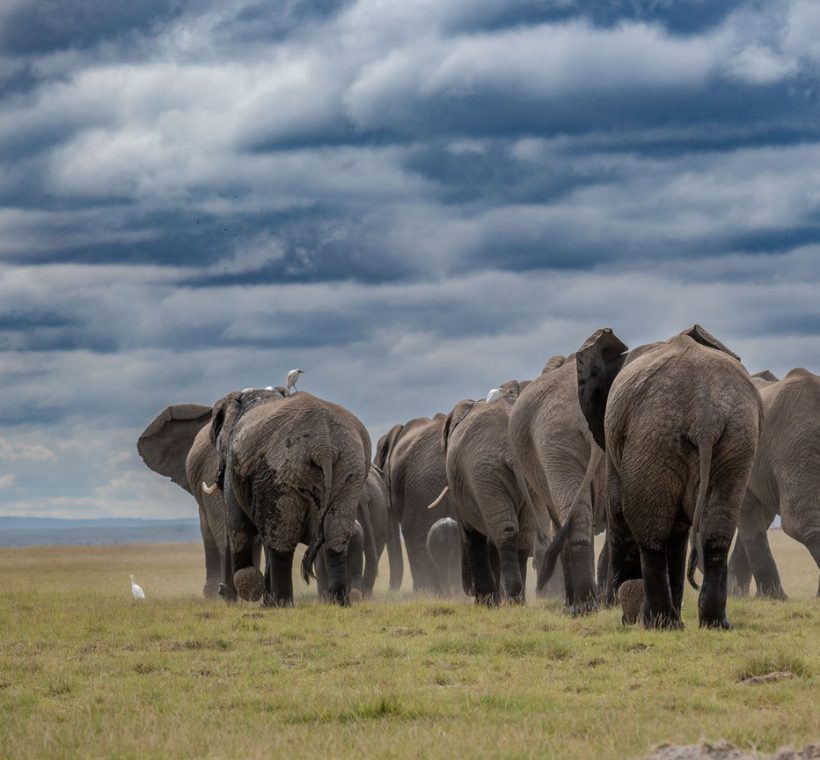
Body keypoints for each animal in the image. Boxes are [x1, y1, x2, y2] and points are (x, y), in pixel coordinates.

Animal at [209, 388, 370, 606]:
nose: (220, 590)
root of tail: (324, 445)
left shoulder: (235, 468)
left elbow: (238, 524)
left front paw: (254, 592)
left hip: (282, 469)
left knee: (281, 542)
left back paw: (281, 604)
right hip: (350, 468)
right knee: (336, 534)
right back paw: (338, 601)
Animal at [440, 381, 544, 604]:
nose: (468, 590)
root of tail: (511, 451)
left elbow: (473, 535)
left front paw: (486, 604)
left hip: (484, 475)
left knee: (504, 531)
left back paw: (508, 596)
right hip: (523, 477)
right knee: (522, 534)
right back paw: (517, 601)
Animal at [575, 325, 762, 629]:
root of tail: (706, 416)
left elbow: (618, 511)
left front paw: (628, 618)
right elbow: (679, 531)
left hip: (653, 436)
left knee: (650, 533)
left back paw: (658, 623)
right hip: (736, 438)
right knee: (716, 530)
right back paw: (713, 624)